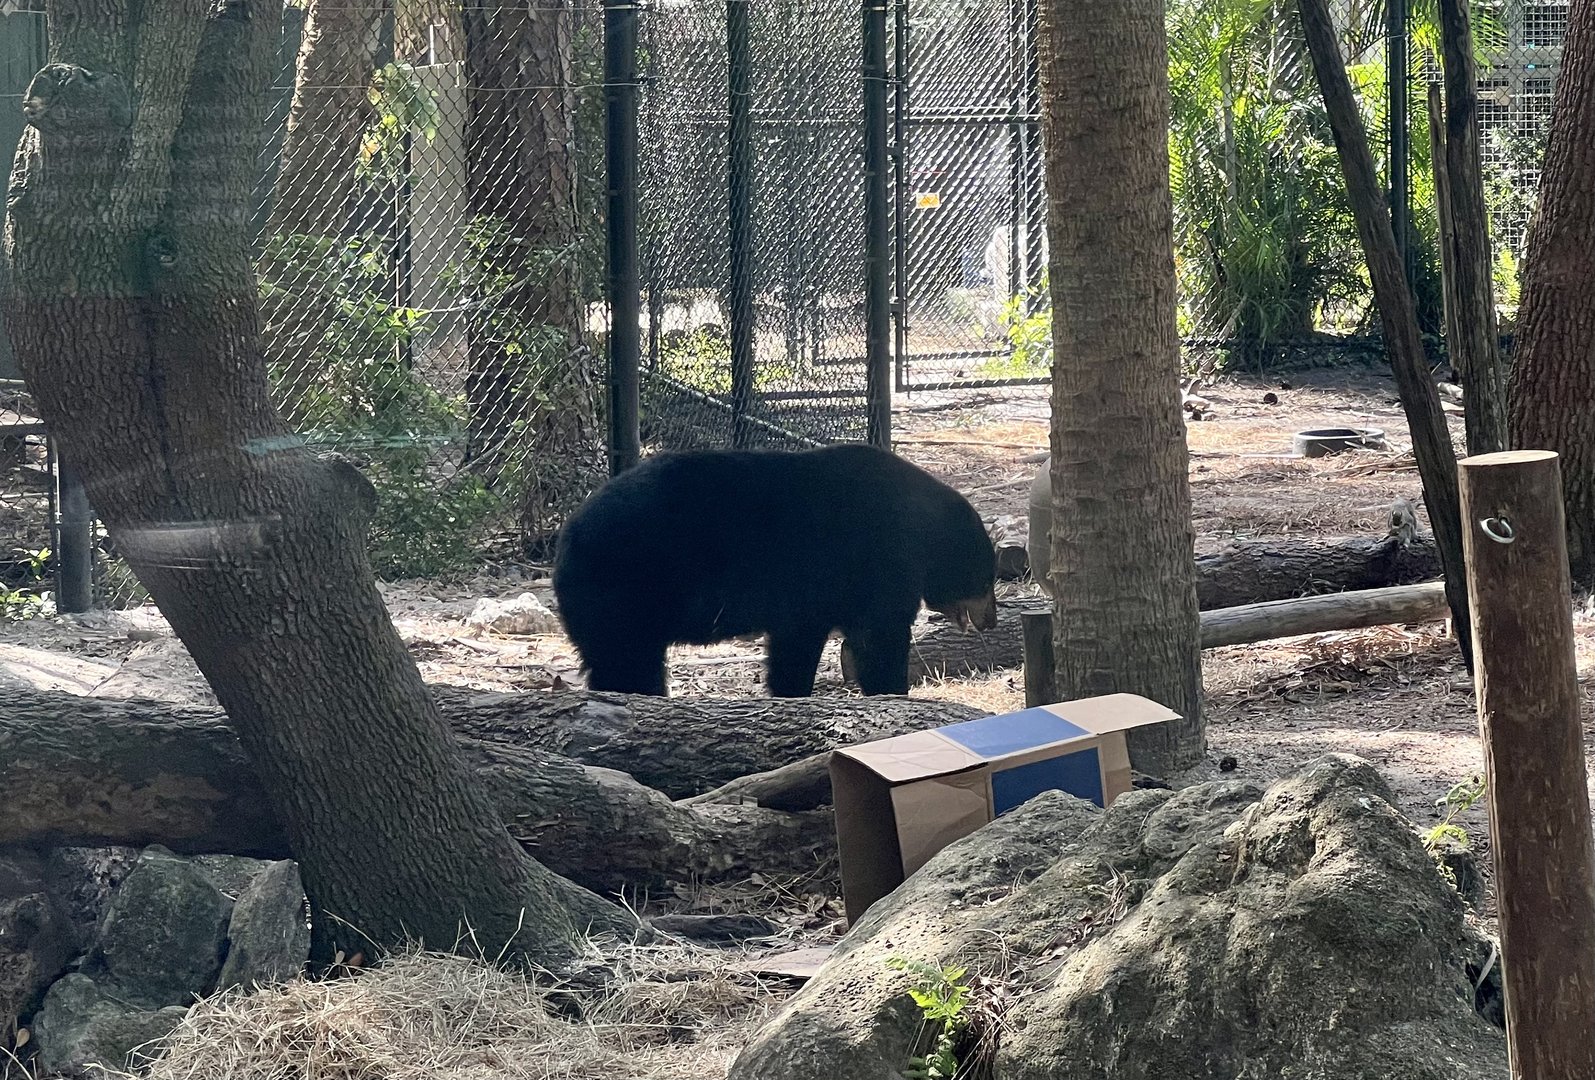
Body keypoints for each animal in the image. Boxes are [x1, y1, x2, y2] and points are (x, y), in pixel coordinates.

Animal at [552, 443, 998, 697]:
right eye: (987, 578)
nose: (992, 619)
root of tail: (568, 535)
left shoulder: (812, 597)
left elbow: (796, 643)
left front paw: (790, 692)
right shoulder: (873, 558)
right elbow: (880, 635)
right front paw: (892, 690)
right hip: (626, 585)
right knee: (626, 658)